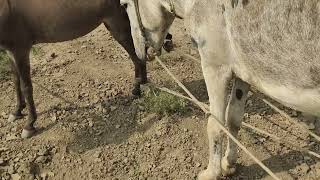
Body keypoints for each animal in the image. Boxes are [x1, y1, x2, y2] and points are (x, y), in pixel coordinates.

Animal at [0, 0, 151, 139]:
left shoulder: (21, 50)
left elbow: (26, 87)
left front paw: (29, 125)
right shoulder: (10, 52)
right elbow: (16, 82)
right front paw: (17, 112)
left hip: (118, 25)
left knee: (137, 58)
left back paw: (137, 89)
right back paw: (139, 86)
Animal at [121, 0, 320, 179]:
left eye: (124, 5)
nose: (139, 54)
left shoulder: (215, 68)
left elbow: (215, 124)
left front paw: (211, 173)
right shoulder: (241, 73)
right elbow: (233, 118)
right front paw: (228, 164)